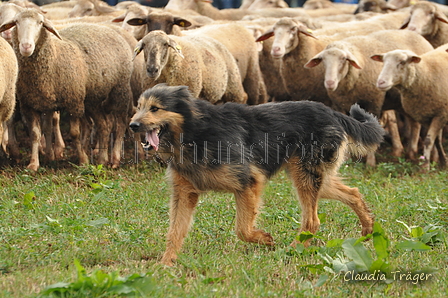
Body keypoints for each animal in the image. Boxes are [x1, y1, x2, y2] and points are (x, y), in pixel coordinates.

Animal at [0, 8, 134, 170]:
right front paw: (36, 163)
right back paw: (102, 159)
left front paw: (83, 160)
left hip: (120, 90)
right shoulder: (33, 104)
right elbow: (37, 133)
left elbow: (74, 133)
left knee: (120, 124)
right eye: (16, 22)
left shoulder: (73, 102)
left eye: (40, 23)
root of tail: (109, 29)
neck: (53, 55)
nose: (26, 46)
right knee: (104, 125)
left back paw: (114, 159)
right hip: (92, 100)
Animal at [128, 83, 384, 266]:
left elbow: (242, 229)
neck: (194, 132)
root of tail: (332, 112)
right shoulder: (184, 194)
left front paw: (264, 240)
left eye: (155, 108)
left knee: (312, 221)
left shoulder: (248, 182)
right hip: (314, 176)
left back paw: (292, 250)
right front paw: (166, 264)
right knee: (353, 193)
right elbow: (174, 232)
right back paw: (367, 230)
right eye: (138, 107)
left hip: (306, 176)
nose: (132, 126)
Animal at [300, 30, 434, 163]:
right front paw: (347, 159)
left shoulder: (374, 102)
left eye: (343, 59)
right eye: (323, 60)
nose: (329, 83)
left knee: (415, 124)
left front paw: (370, 162)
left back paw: (412, 152)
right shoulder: (340, 105)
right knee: (413, 122)